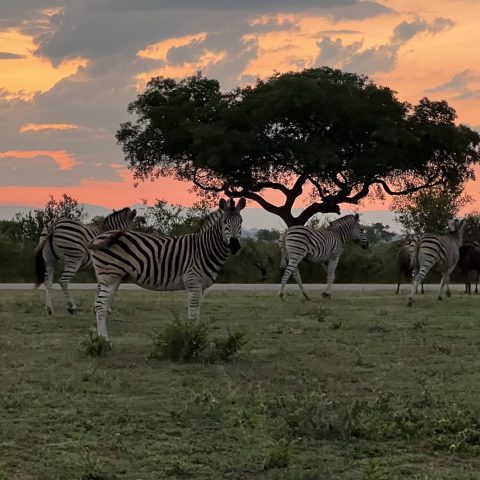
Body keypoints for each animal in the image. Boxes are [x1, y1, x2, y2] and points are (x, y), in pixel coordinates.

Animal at [89, 198, 245, 340]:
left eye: (241, 222)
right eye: (224, 222)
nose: (234, 245)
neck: (204, 249)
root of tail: (99, 237)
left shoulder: (201, 286)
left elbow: (196, 313)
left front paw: (194, 336)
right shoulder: (193, 281)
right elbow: (193, 314)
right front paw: (191, 339)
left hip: (113, 278)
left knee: (102, 305)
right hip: (110, 276)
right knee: (100, 306)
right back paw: (104, 342)